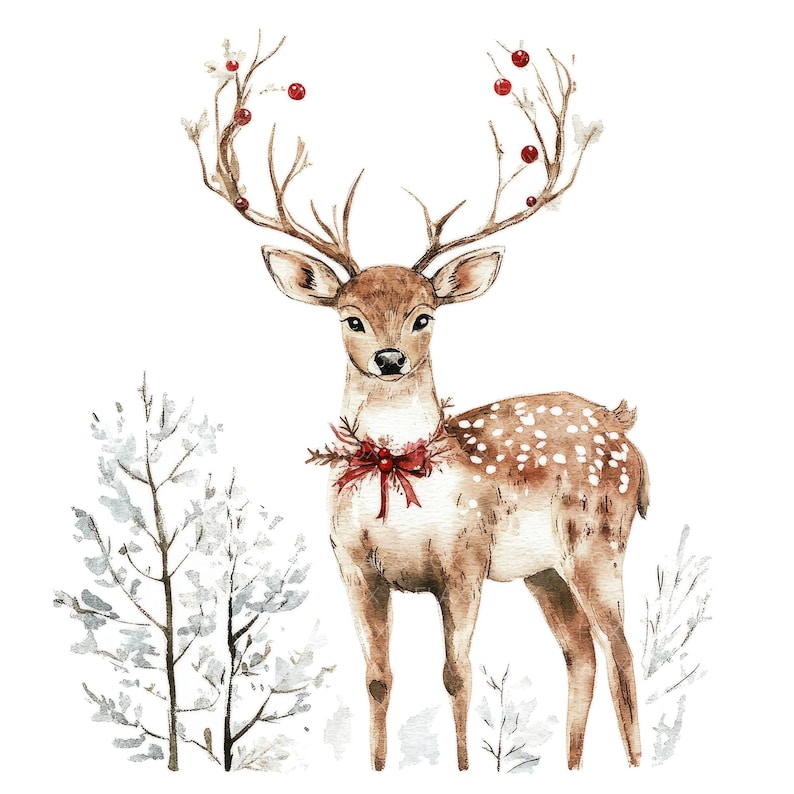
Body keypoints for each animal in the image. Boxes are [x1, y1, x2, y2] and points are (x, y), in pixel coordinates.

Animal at [184, 34, 649, 771]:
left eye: (424, 316)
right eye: (350, 317)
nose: (389, 358)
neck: (399, 478)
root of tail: (621, 423)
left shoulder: (463, 561)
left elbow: (457, 675)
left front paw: (460, 768)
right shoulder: (355, 566)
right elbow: (378, 677)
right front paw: (376, 766)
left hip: (599, 538)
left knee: (623, 652)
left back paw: (633, 762)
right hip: (543, 569)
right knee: (581, 653)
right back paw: (572, 766)